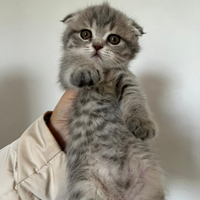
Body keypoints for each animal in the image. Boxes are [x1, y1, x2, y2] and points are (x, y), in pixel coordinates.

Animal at [59, 3, 164, 200]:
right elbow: (75, 61)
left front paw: (141, 121)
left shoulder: (126, 77)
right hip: (86, 187)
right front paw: (86, 68)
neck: (104, 74)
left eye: (114, 39)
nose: (97, 45)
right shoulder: (66, 74)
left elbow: (135, 98)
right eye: (86, 34)